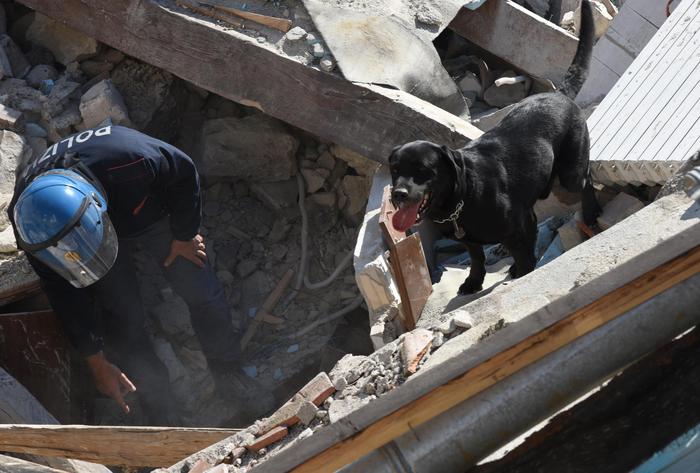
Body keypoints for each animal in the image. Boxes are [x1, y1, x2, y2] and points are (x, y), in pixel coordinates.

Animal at [392, 0, 600, 294]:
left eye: (423, 170)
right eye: (395, 169)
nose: (397, 194)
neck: (464, 195)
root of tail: (559, 94)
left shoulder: (514, 228)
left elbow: (523, 255)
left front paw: (523, 273)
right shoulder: (470, 240)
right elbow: (477, 259)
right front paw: (474, 281)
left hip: (570, 173)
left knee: (586, 180)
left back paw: (591, 214)